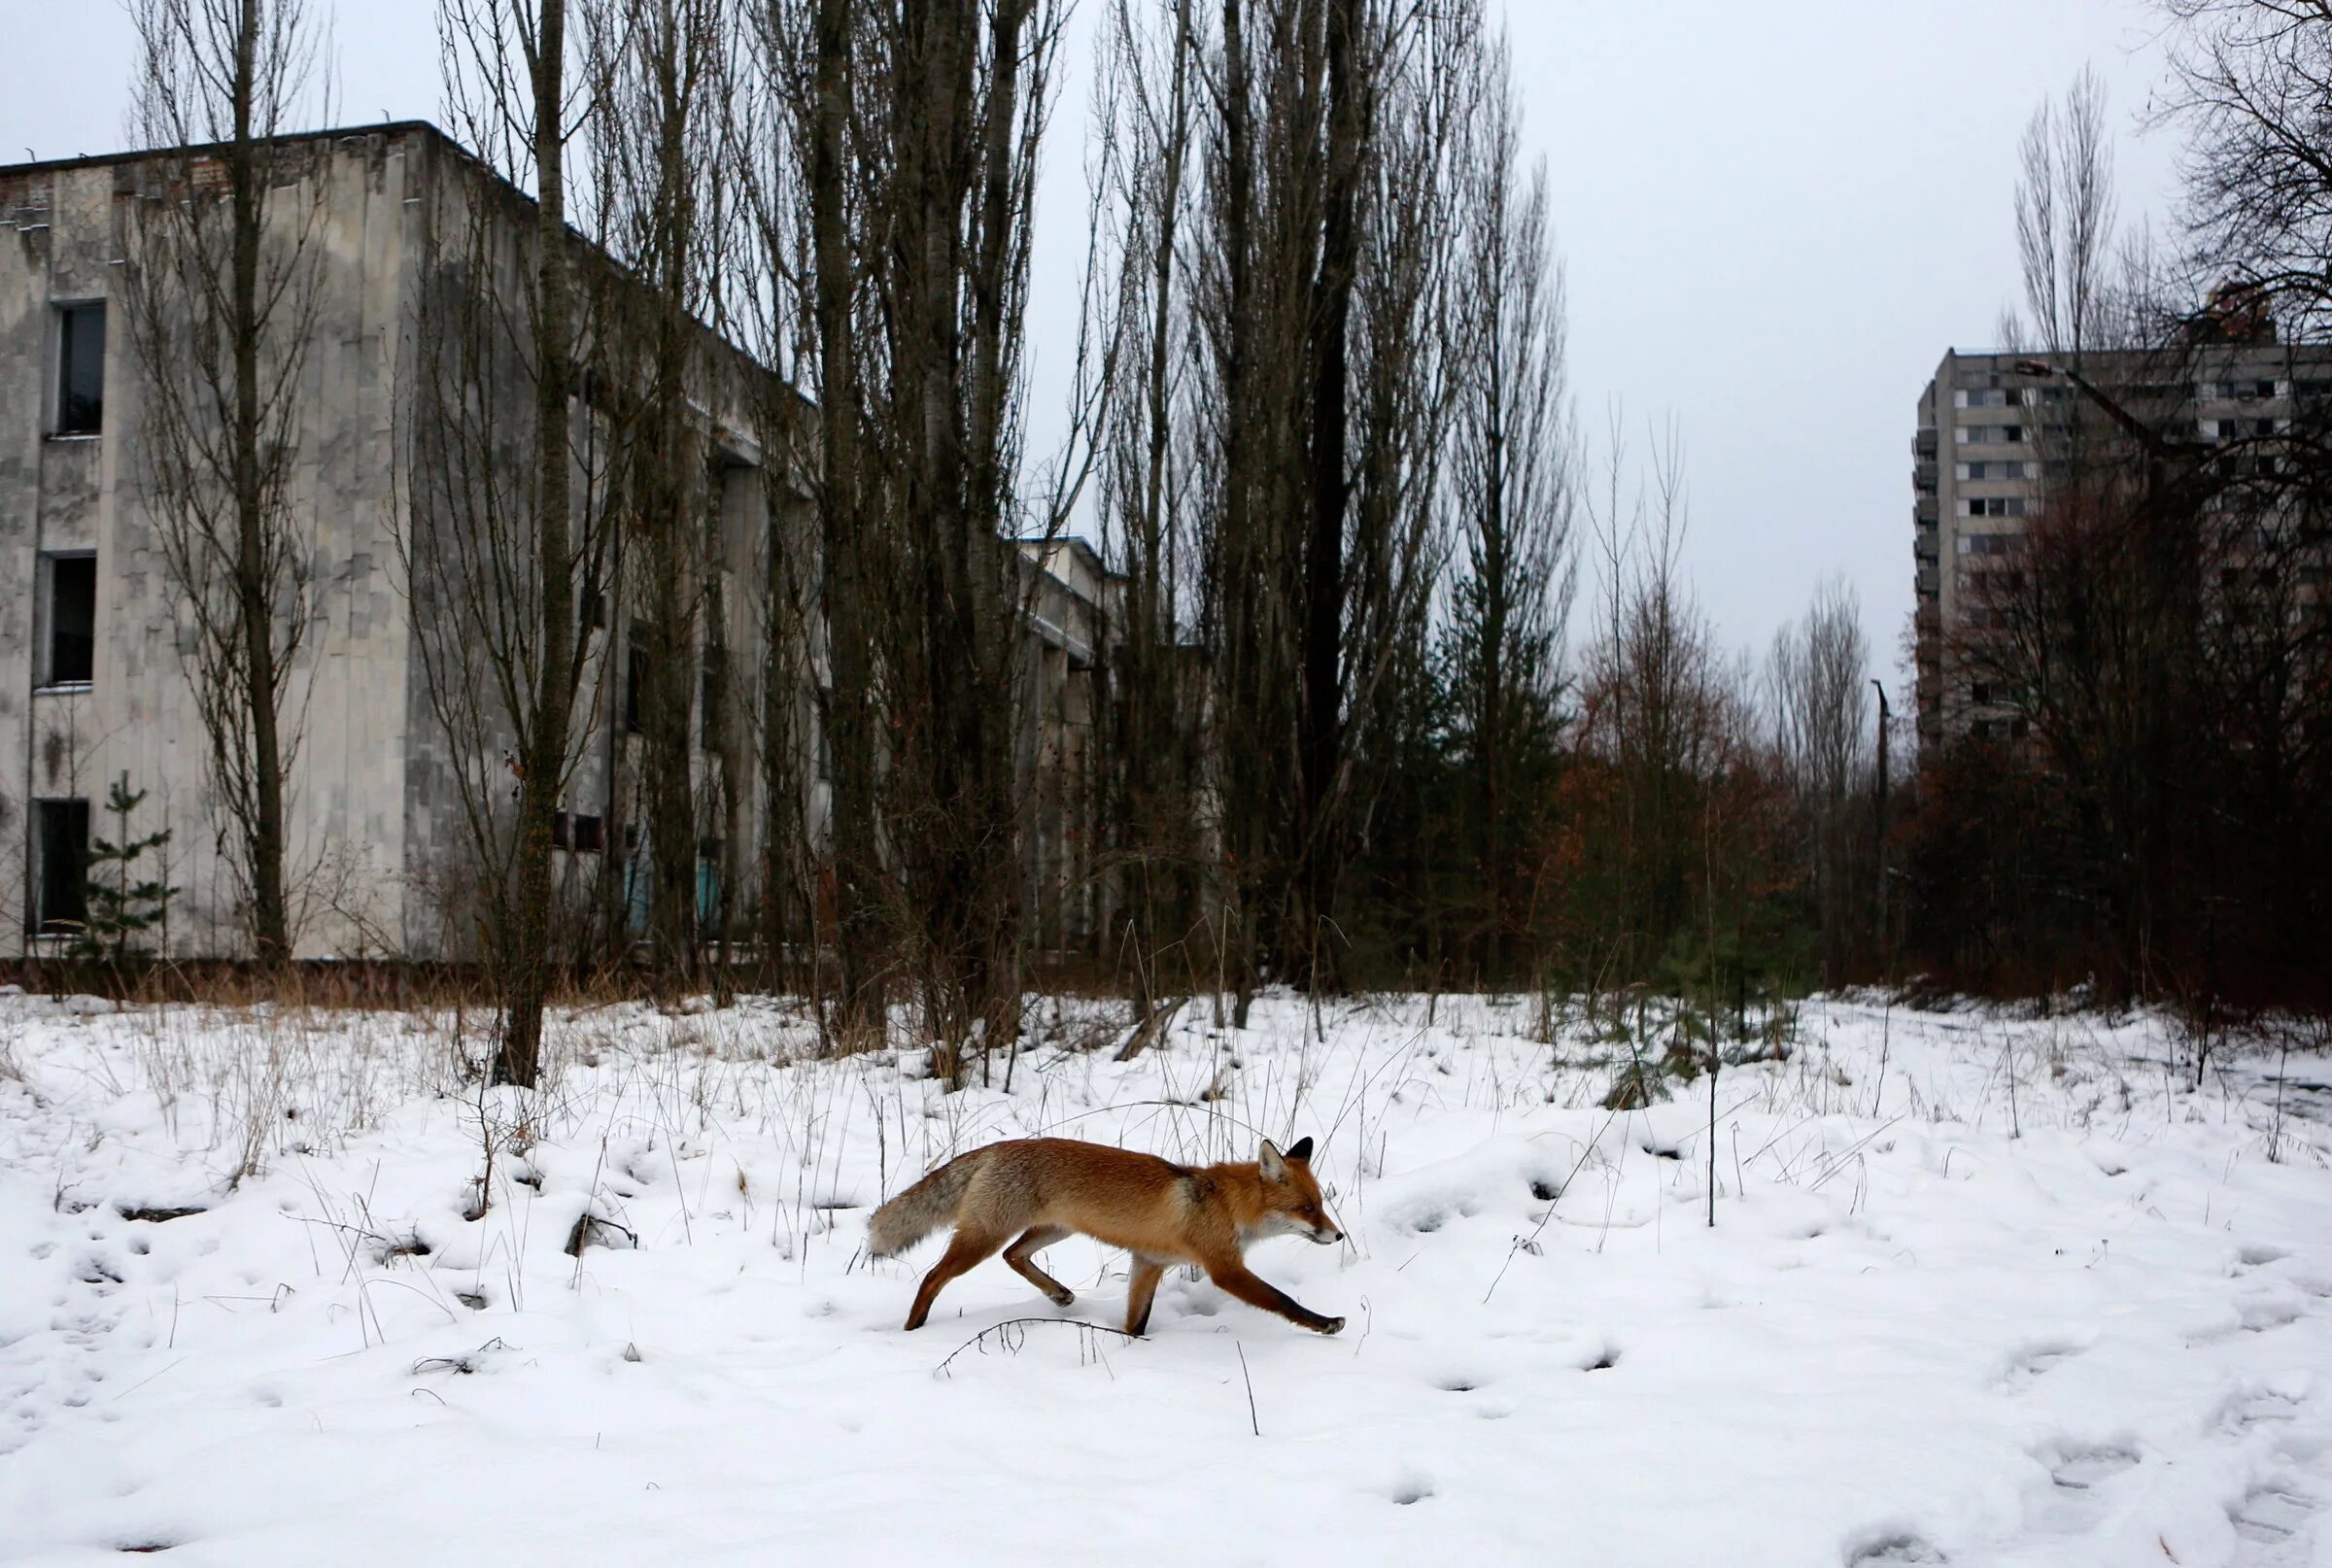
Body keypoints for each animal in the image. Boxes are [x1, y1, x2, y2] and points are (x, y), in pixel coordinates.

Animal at [872, 1139, 1353, 1334]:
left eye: (1321, 1203)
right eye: (1307, 1208)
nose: (1338, 1236)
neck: (1224, 1203)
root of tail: (998, 1146)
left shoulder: (1149, 1262)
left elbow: (1136, 1322)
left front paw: (1129, 1347)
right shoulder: (1224, 1268)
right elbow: (1283, 1300)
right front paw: (1326, 1323)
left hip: (1052, 1230)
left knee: (1013, 1255)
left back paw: (1059, 1294)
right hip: (982, 1239)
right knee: (932, 1277)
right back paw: (913, 1328)